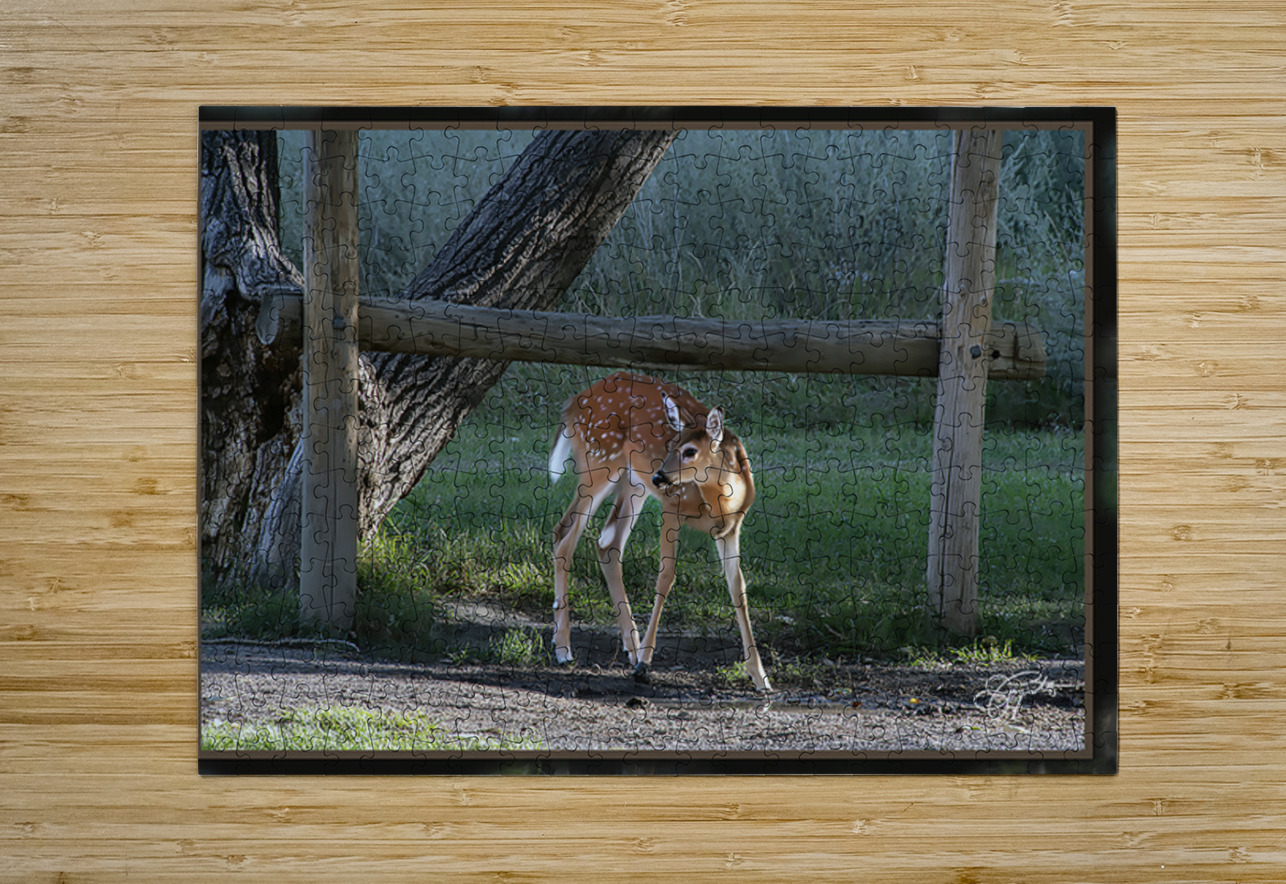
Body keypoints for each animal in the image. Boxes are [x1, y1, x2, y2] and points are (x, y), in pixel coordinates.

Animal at [548, 371, 772, 692]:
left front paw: (760, 675)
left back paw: (631, 645)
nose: (659, 476)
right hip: (599, 463)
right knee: (564, 535)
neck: (721, 502)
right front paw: (645, 665)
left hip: (632, 483)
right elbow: (666, 577)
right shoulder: (671, 506)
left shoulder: (732, 528)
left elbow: (738, 588)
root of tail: (573, 403)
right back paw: (564, 648)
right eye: (670, 445)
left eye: (690, 451)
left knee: (607, 543)